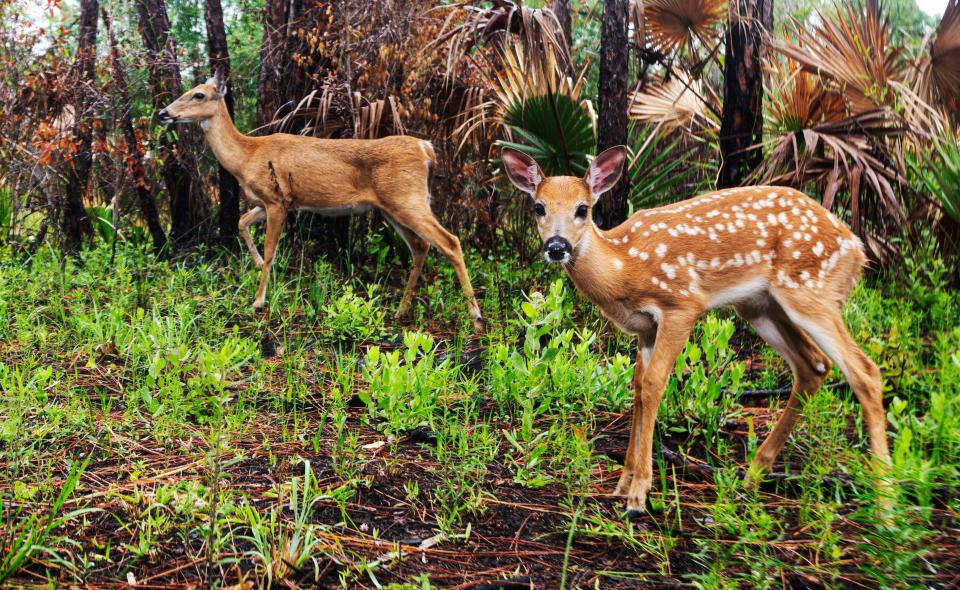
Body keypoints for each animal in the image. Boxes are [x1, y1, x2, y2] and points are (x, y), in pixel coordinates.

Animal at [160, 76, 484, 330]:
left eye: (198, 94)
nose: (163, 112)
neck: (247, 156)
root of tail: (426, 149)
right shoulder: (269, 202)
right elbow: (241, 222)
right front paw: (255, 264)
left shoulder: (277, 201)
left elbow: (271, 251)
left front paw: (258, 302)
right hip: (392, 207)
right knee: (421, 247)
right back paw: (400, 311)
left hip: (407, 198)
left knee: (450, 241)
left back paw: (476, 316)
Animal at [502, 146, 892, 516]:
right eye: (538, 207)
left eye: (583, 209)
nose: (557, 247)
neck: (624, 267)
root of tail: (856, 248)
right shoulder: (645, 329)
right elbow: (638, 388)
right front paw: (622, 484)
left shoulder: (682, 304)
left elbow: (654, 384)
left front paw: (638, 496)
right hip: (761, 305)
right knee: (813, 366)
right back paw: (752, 476)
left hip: (810, 289)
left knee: (865, 372)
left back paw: (886, 505)